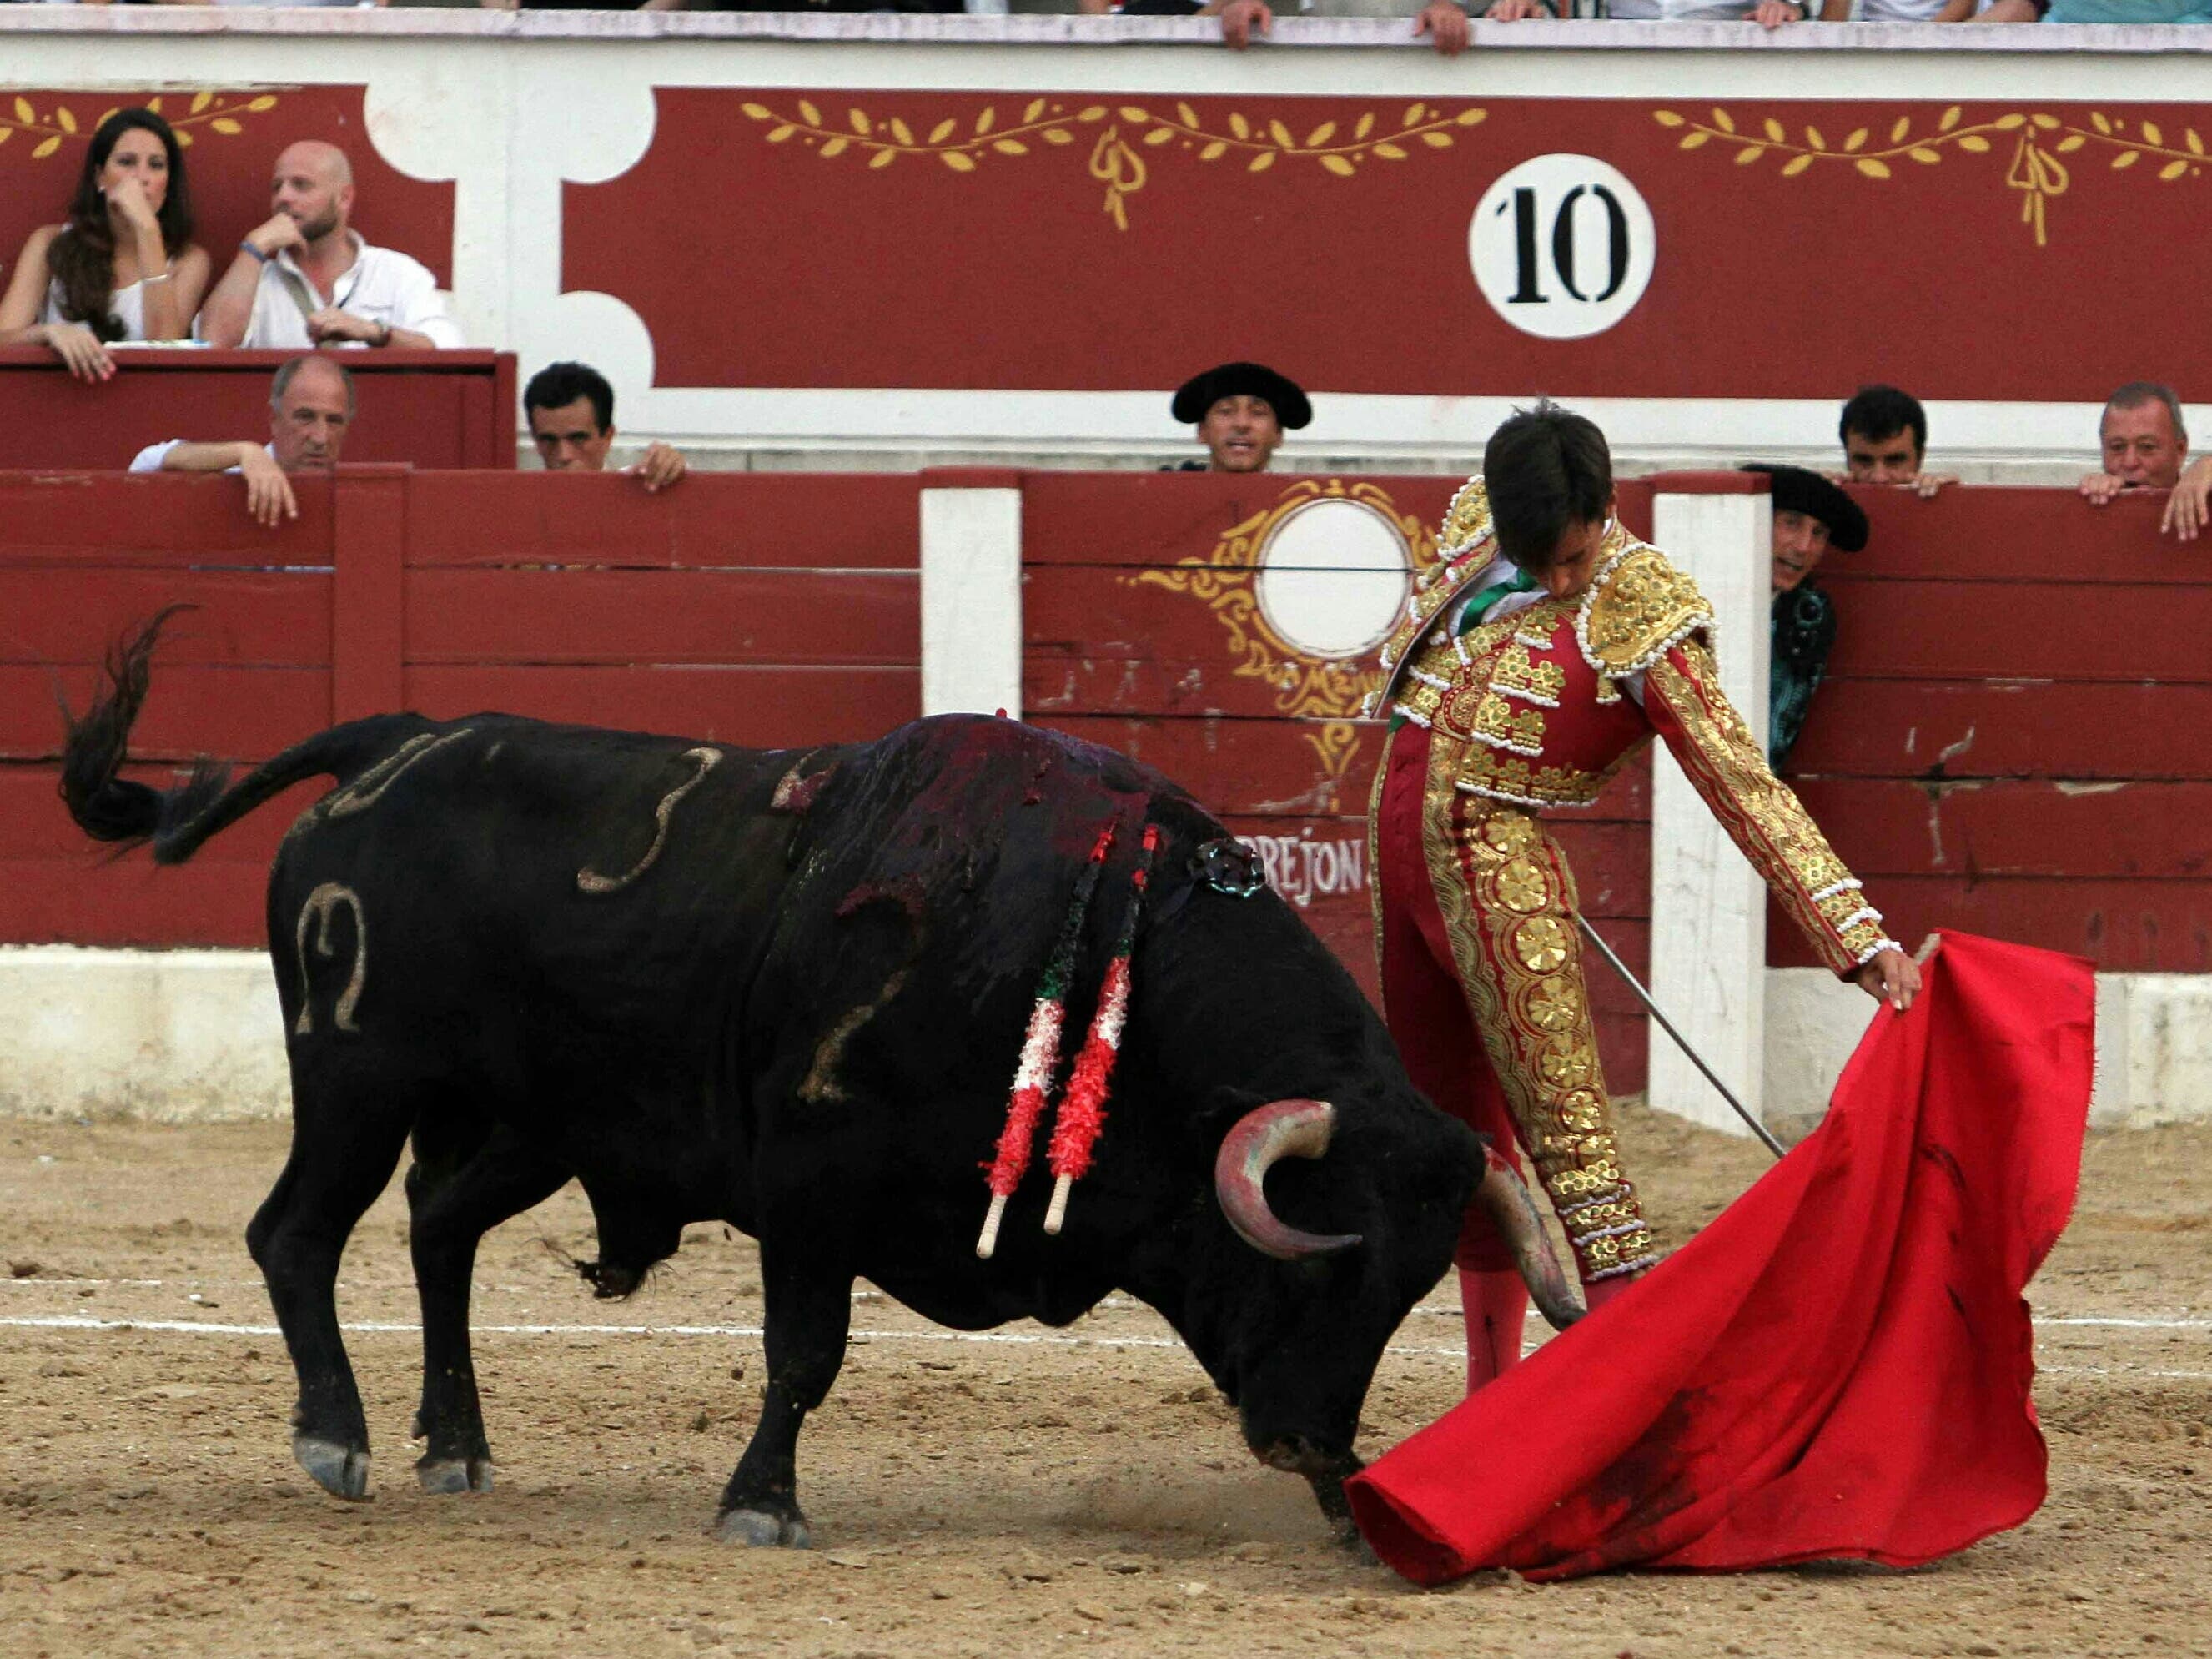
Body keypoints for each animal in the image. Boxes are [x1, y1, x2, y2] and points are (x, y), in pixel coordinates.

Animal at [59, 613, 1580, 1546]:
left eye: (1405, 1289)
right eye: (1319, 1265)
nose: (1318, 1448)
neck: (1103, 956)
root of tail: (395, 738)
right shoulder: (807, 1183)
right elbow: (806, 1354)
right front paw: (761, 1503)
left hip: (540, 1119)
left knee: (436, 1225)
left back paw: (457, 1443)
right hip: (357, 1075)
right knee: (298, 1233)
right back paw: (339, 1440)